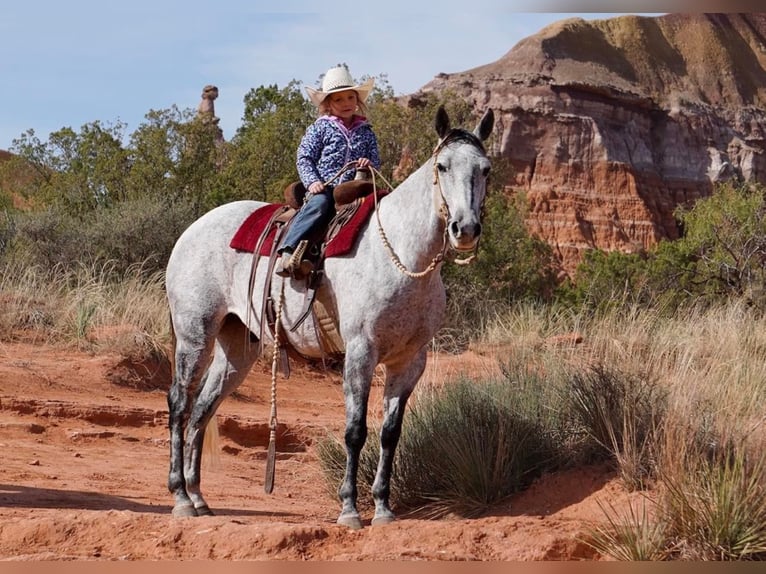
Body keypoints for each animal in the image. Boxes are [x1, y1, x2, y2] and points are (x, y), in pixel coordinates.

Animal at [165, 104, 496, 532]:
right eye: (442, 166)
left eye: (485, 169)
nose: (465, 229)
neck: (402, 257)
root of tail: (191, 230)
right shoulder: (360, 352)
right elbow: (355, 431)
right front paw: (350, 508)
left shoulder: (410, 361)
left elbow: (390, 433)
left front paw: (383, 507)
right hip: (195, 334)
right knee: (179, 403)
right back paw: (180, 498)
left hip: (237, 348)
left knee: (203, 409)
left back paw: (199, 498)